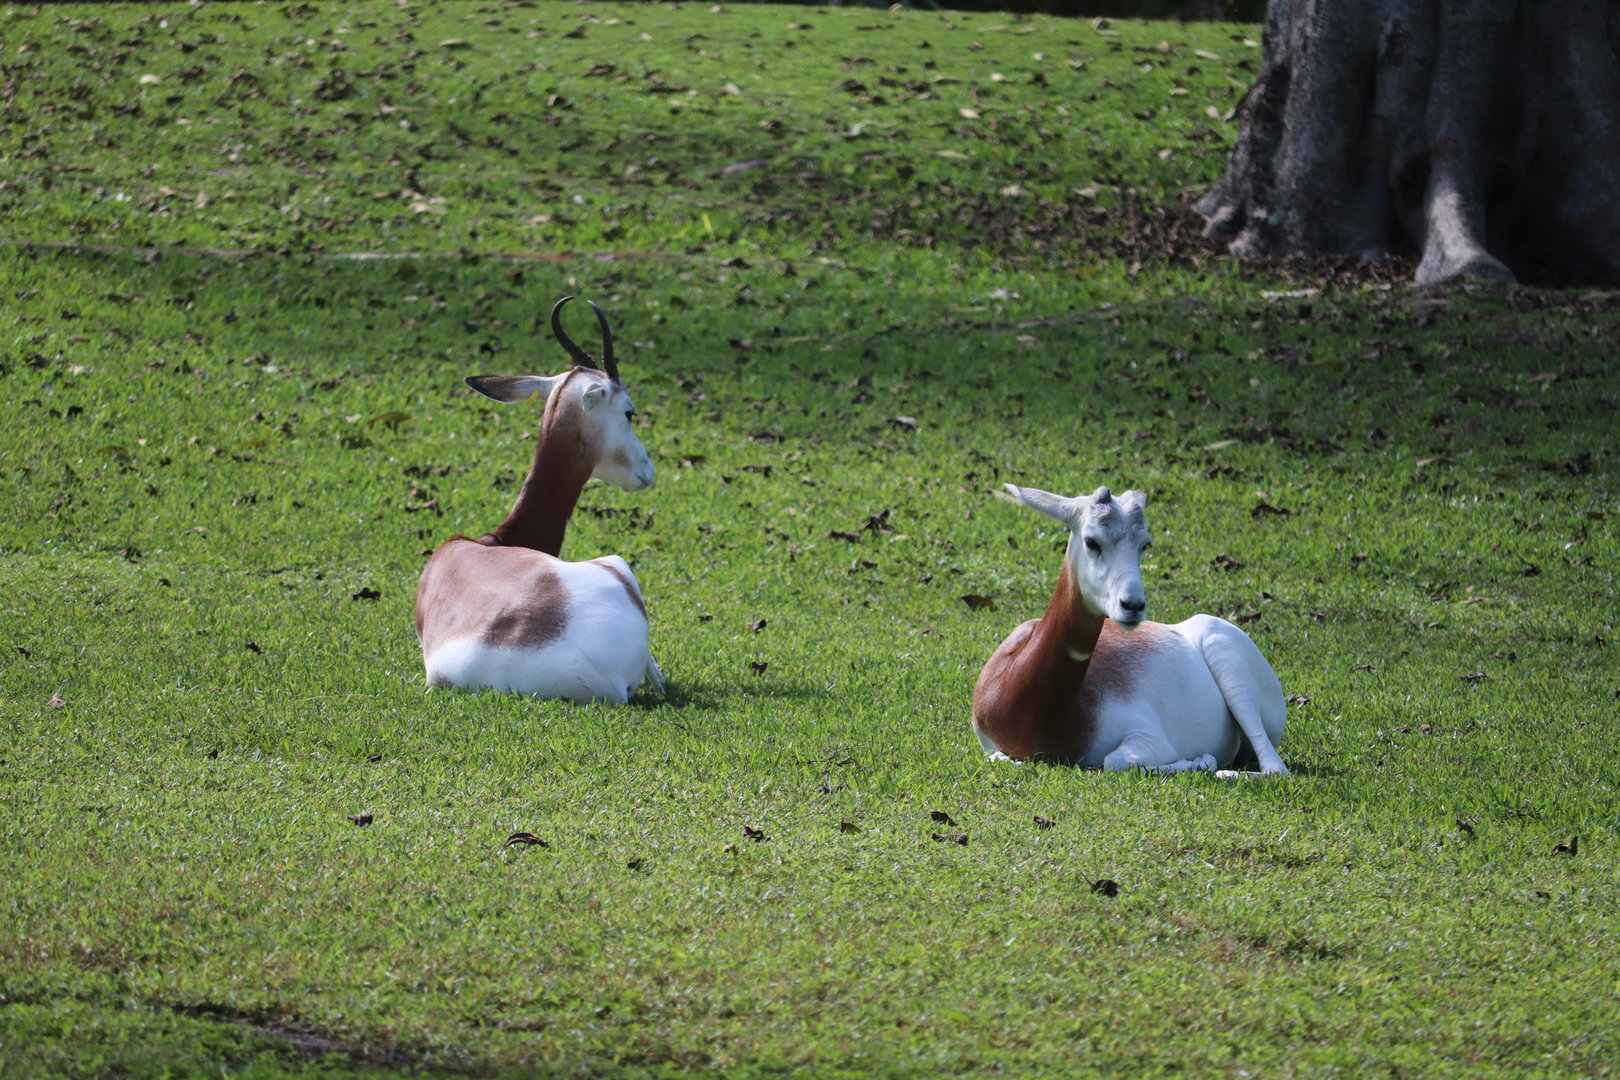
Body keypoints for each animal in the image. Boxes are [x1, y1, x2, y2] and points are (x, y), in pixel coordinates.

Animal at [971, 483, 1288, 776]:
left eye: (1144, 544)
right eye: (1091, 541)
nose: (1133, 605)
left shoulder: (1149, 738)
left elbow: (1115, 761)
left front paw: (1197, 760)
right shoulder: (991, 746)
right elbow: (1000, 758)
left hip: (1227, 662)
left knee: (1274, 768)